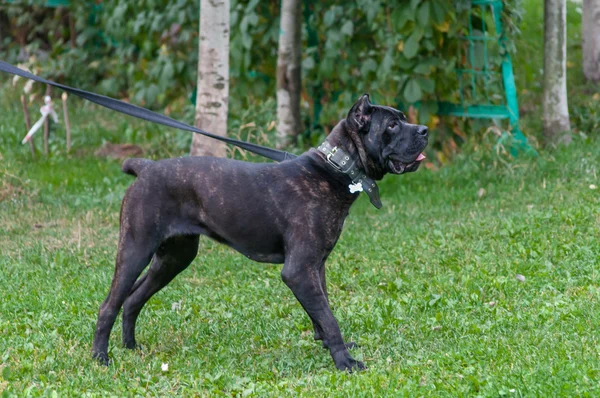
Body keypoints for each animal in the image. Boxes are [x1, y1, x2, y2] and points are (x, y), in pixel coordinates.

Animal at [91, 95, 428, 372]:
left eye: (403, 118)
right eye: (393, 124)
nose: (424, 129)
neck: (333, 169)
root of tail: (145, 168)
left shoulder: (316, 266)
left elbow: (322, 312)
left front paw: (329, 346)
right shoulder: (299, 270)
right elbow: (329, 318)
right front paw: (345, 361)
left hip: (174, 258)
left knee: (132, 300)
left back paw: (131, 348)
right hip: (135, 250)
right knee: (109, 305)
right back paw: (101, 358)